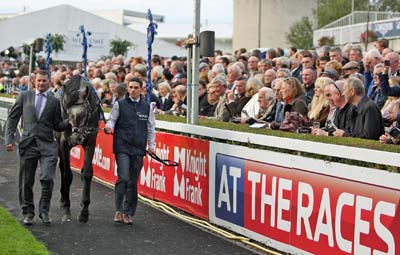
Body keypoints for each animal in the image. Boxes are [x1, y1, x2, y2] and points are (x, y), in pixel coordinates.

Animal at [55, 74, 101, 222]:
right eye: (68, 114)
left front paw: (84, 212)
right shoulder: (64, 143)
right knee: (62, 169)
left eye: (84, 114)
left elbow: (87, 173)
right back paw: (63, 200)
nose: (76, 139)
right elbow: (67, 174)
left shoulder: (90, 141)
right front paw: (66, 208)